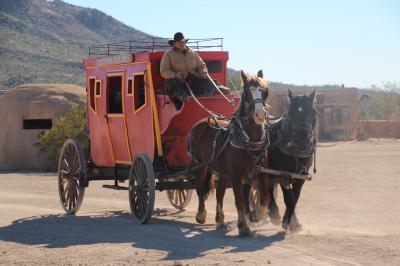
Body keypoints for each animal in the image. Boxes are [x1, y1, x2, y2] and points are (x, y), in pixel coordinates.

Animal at [188, 69, 270, 236]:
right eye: (247, 92)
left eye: (265, 92)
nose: (260, 114)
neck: (249, 141)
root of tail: (199, 124)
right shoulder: (236, 175)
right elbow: (240, 200)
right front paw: (243, 226)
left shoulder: (261, 172)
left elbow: (264, 198)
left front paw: (256, 216)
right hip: (200, 165)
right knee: (199, 187)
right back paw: (201, 215)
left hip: (223, 172)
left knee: (220, 191)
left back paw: (220, 219)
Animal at [268, 90, 318, 233]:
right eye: (291, 112)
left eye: (313, 112)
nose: (302, 138)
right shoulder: (283, 175)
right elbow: (288, 198)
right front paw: (287, 221)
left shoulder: (301, 176)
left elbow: (295, 198)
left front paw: (294, 222)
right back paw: (273, 213)